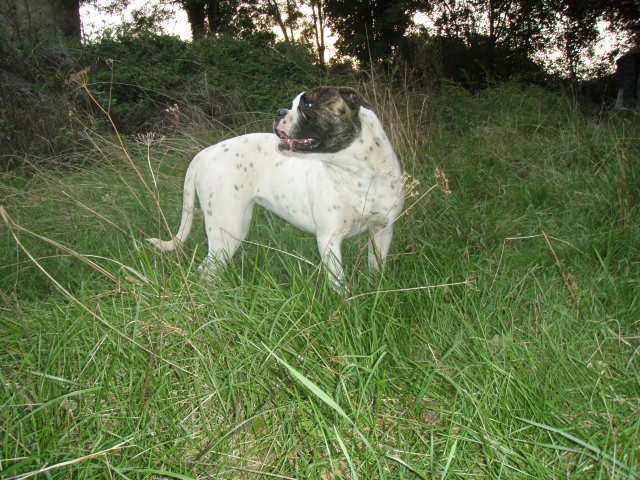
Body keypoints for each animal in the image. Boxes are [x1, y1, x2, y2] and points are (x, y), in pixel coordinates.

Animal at [147, 86, 404, 289]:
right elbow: (338, 284)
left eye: (307, 104)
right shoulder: (329, 239)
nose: (279, 111)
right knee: (208, 270)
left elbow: (376, 269)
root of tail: (204, 153)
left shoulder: (382, 231)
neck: (358, 173)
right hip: (228, 229)